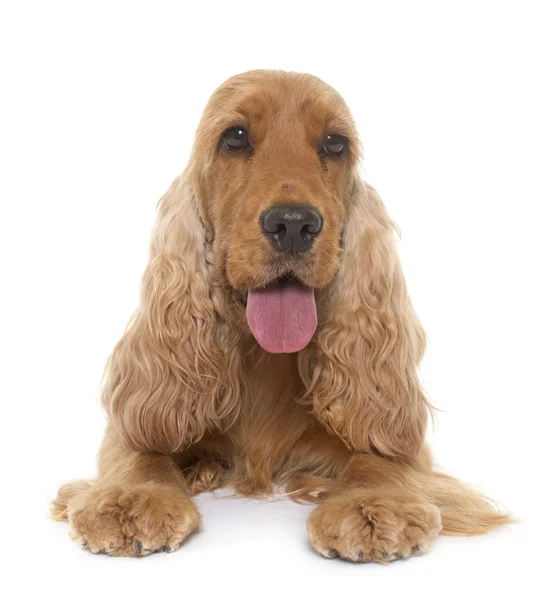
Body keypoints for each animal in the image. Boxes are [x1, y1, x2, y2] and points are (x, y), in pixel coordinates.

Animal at [51, 70, 510, 564]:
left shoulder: (398, 434)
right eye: (234, 137)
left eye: (335, 143)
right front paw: (133, 499)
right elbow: (139, 451)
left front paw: (372, 506)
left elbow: (379, 456)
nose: (293, 225)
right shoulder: (135, 416)